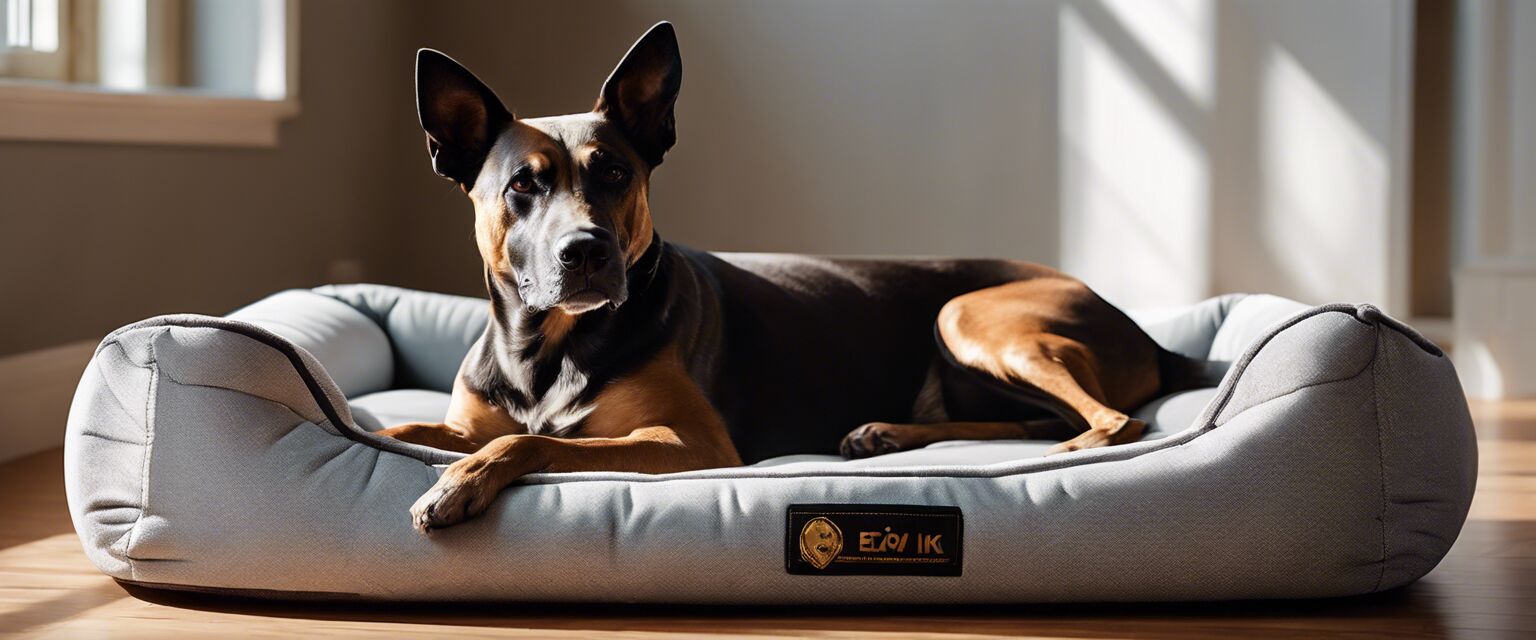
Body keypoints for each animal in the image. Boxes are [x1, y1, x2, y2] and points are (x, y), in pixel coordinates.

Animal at [377, 22, 1216, 531]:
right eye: (523, 186)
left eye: (613, 172)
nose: (584, 250)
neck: (544, 345)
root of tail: (1149, 336)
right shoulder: (468, 421)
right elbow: (408, 431)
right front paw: (400, 443)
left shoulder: (689, 444)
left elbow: (534, 445)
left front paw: (459, 482)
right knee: (1039, 418)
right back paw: (889, 432)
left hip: (968, 314)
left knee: (1113, 422)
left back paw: (1068, 456)